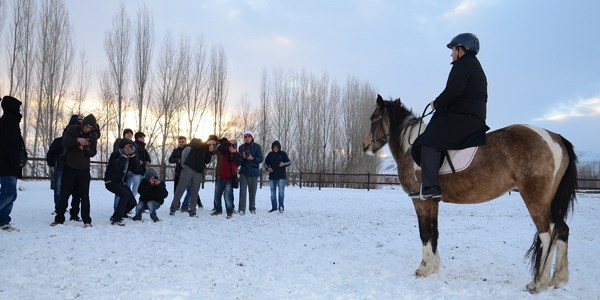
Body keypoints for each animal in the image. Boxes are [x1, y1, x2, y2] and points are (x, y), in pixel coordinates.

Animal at [364, 94, 580, 292]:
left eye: (374, 118)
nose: (365, 146)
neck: (410, 148)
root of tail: (555, 138)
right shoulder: (432, 201)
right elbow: (434, 232)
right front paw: (434, 268)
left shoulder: (420, 200)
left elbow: (425, 232)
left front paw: (423, 269)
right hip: (550, 202)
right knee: (562, 230)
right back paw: (557, 279)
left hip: (536, 200)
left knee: (547, 235)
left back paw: (538, 282)